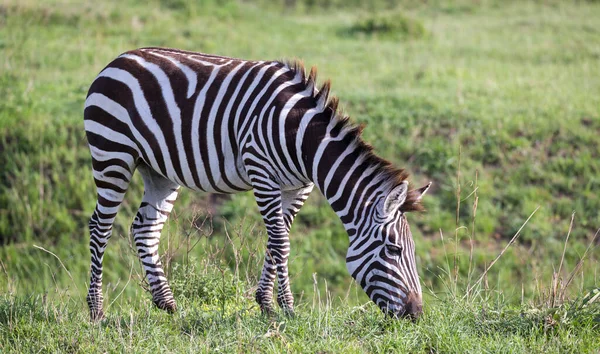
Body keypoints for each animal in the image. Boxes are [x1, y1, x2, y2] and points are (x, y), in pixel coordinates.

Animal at [84, 47, 432, 320]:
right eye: (394, 249)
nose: (416, 314)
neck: (304, 141)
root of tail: (118, 59)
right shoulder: (262, 173)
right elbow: (281, 242)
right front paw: (284, 306)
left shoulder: (298, 188)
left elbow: (277, 241)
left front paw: (268, 303)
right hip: (113, 154)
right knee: (100, 228)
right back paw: (96, 309)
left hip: (159, 171)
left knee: (145, 228)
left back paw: (166, 303)